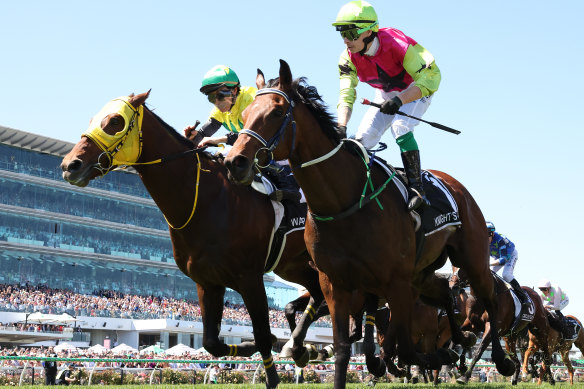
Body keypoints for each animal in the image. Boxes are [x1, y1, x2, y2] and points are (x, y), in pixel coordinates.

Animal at [61, 91, 324, 388]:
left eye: (115, 121)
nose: (70, 165)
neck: (208, 200)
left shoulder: (250, 279)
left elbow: (262, 336)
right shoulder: (207, 282)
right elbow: (212, 343)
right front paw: (252, 347)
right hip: (293, 265)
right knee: (315, 295)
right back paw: (303, 345)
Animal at [226, 59, 512, 386]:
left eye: (276, 112)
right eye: (245, 114)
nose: (235, 162)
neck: (342, 201)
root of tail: (456, 186)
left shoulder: (394, 282)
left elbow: (403, 347)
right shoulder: (335, 284)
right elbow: (345, 347)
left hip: (471, 260)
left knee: (488, 301)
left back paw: (498, 358)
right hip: (421, 274)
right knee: (442, 295)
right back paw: (459, 341)